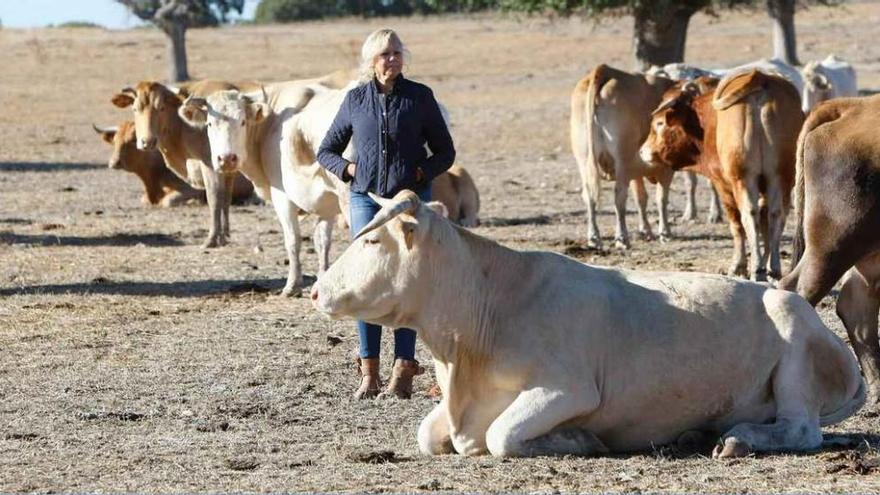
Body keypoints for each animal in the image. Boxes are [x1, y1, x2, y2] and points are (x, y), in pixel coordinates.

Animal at [312, 191, 868, 462]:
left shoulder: (570, 389)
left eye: (371, 241)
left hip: (794, 351)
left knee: (801, 430)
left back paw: (738, 440)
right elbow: (430, 434)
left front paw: (580, 440)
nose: (315, 291)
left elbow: (499, 435)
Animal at [576, 65, 676, 250]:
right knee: (619, 196)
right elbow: (661, 198)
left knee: (589, 195)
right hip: (621, 160)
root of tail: (606, 71)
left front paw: (646, 231)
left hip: (584, 159)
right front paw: (665, 232)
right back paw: (622, 238)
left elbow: (641, 197)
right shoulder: (665, 168)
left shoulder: (635, 170)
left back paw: (594, 238)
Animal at [640, 70, 804, 280]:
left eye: (659, 123)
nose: (643, 151)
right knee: (776, 214)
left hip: (742, 178)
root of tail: (760, 77)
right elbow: (766, 224)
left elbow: (737, 225)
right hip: (780, 176)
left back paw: (756, 268)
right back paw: (773, 268)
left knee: (747, 216)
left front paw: (739, 266)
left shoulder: (722, 184)